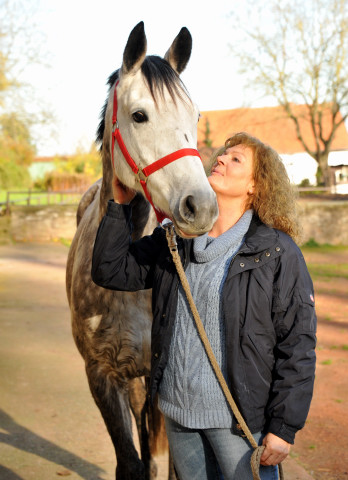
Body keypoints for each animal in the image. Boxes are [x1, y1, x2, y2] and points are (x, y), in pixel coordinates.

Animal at [65, 23, 218, 480]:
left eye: (195, 116)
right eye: (139, 115)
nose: (202, 206)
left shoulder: (164, 383)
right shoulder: (100, 375)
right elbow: (131, 463)